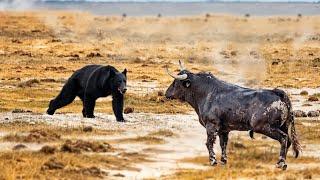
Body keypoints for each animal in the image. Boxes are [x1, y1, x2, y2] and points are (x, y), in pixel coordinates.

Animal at [165, 62, 300, 169]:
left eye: (175, 82)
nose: (166, 94)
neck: (205, 92)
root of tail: (278, 93)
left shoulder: (211, 126)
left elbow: (209, 143)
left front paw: (213, 161)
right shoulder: (224, 130)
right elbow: (223, 144)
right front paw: (223, 161)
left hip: (266, 127)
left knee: (284, 138)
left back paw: (280, 163)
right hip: (283, 126)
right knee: (288, 141)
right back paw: (283, 162)